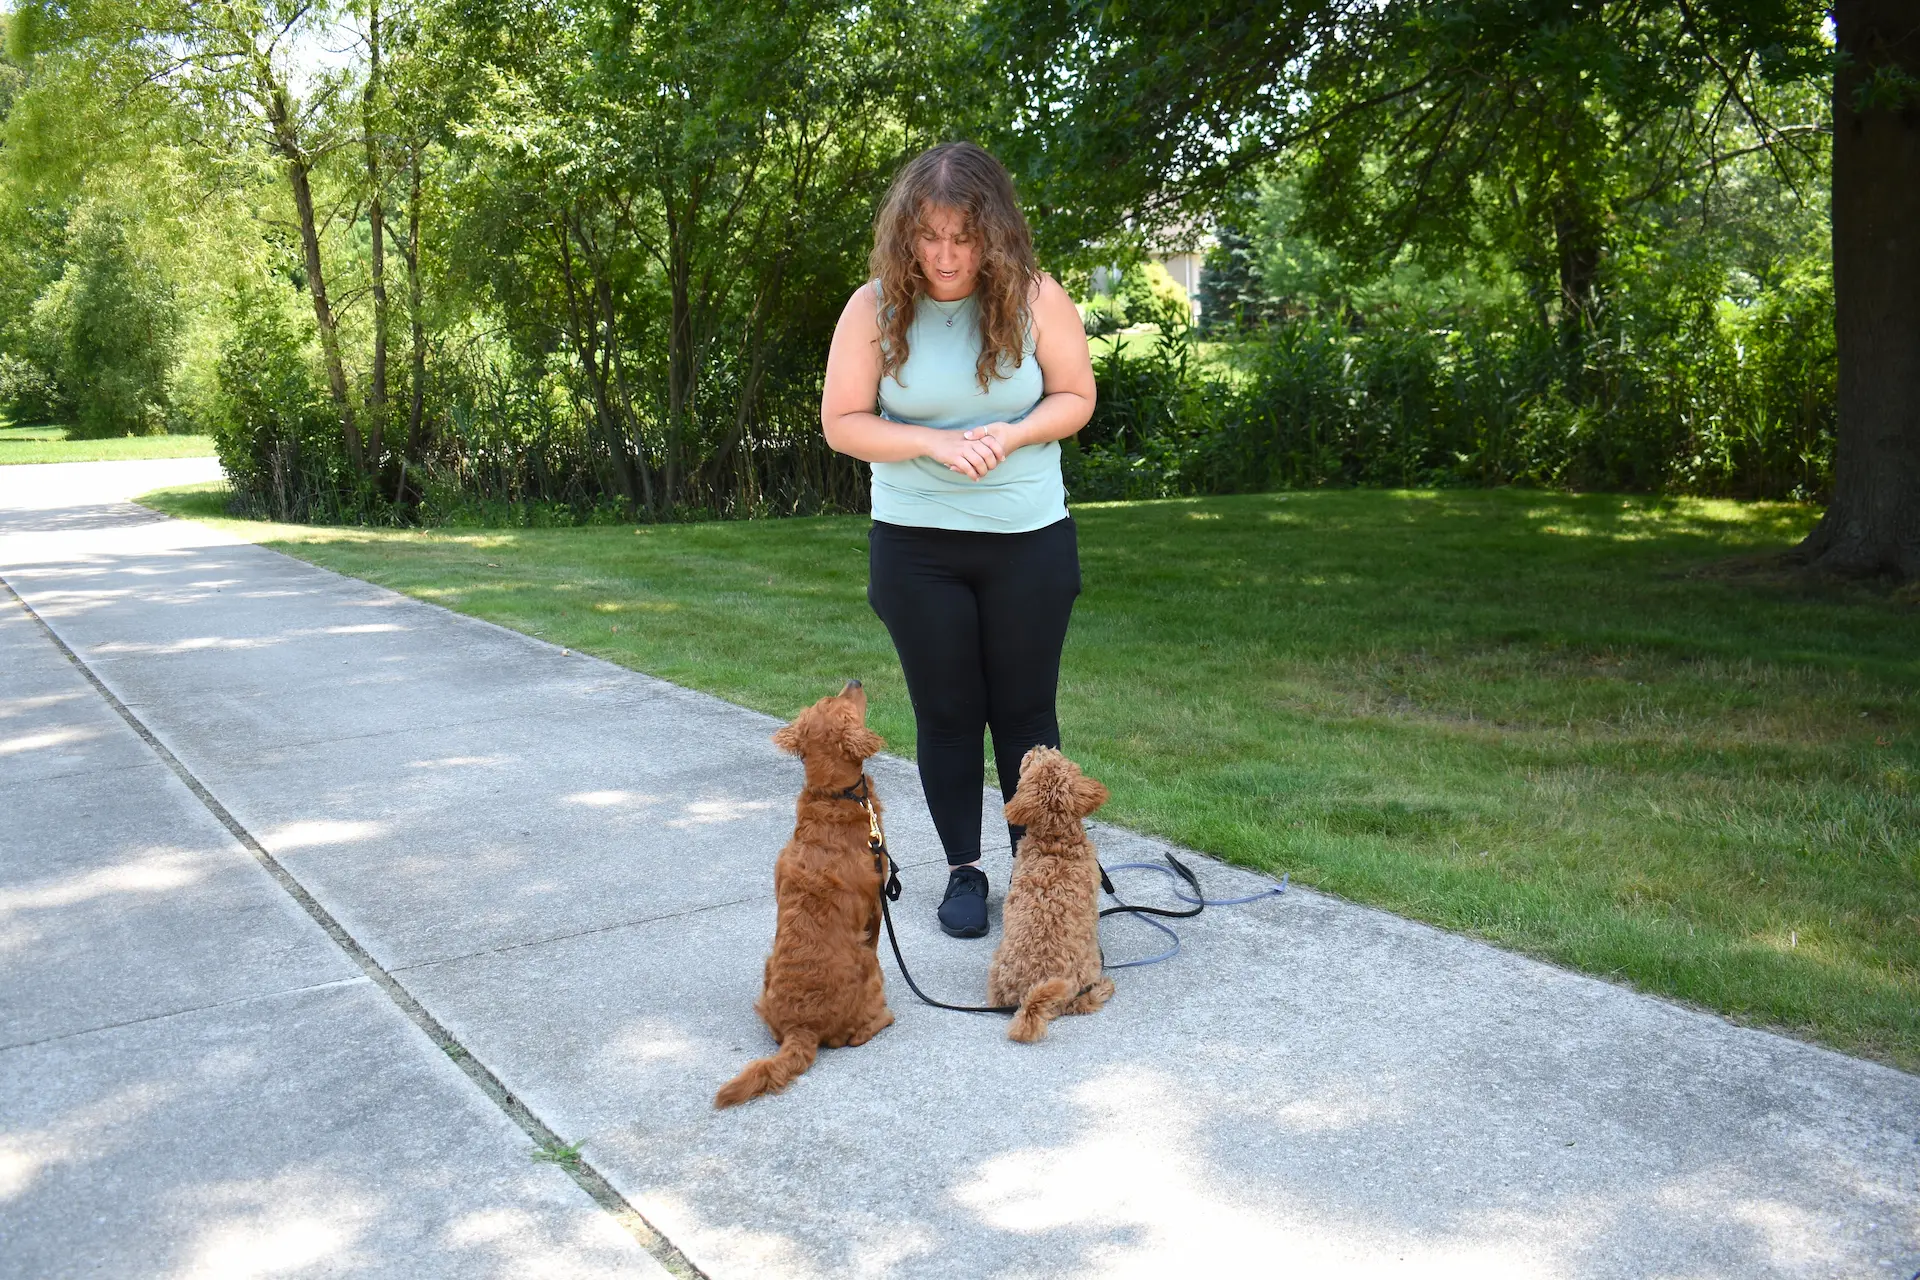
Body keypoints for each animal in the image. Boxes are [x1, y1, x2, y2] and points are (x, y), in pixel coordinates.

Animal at [718, 679, 894, 1113]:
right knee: (856, 1035)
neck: (832, 796)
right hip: (868, 967)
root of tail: (803, 1027)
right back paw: (884, 1017)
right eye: (839, 701)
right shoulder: (875, 907)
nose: (854, 681)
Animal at [990, 744, 1113, 1043]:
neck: (1055, 840)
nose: (1037, 746)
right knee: (1084, 1003)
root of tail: (1029, 998)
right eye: (1034, 761)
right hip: (1089, 966)